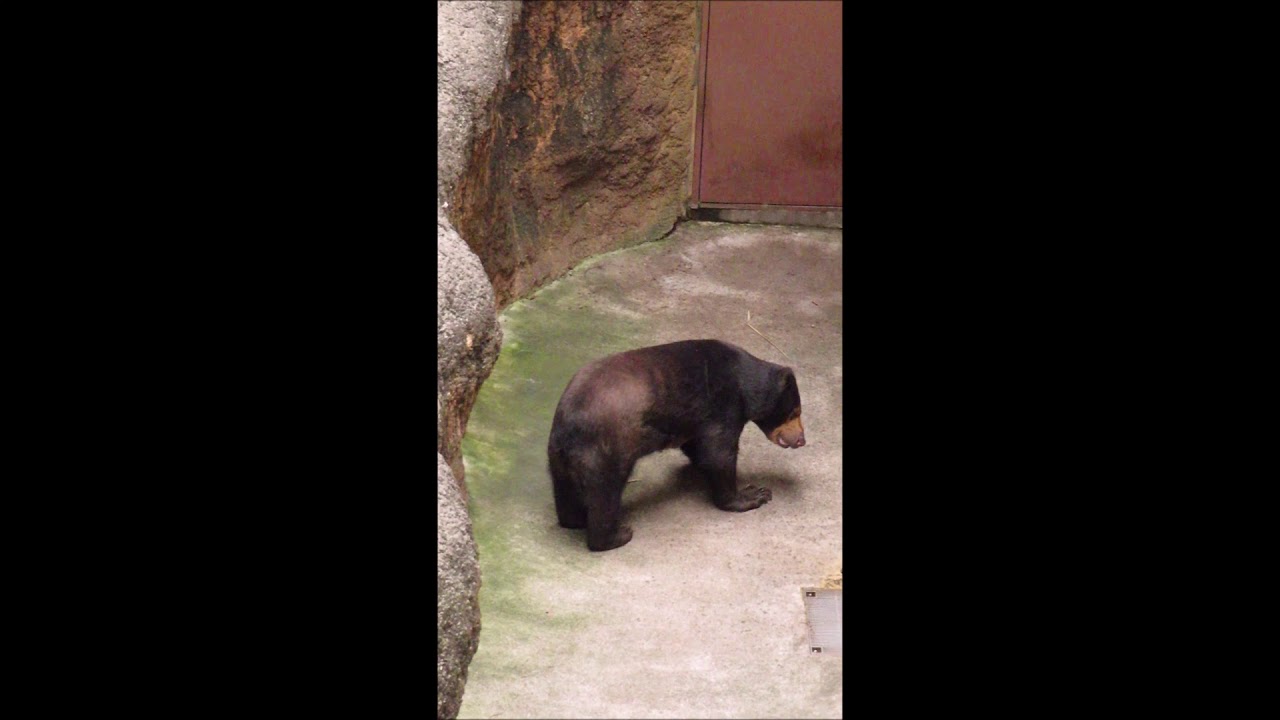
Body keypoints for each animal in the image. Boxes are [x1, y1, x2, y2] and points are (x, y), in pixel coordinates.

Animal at [547, 339, 805, 551]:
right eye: (794, 412)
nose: (802, 439)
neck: (744, 382)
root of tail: (568, 426)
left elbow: (698, 446)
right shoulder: (723, 404)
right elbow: (719, 453)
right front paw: (754, 494)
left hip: (559, 458)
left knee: (566, 491)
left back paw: (574, 521)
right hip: (608, 447)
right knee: (605, 493)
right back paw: (616, 536)